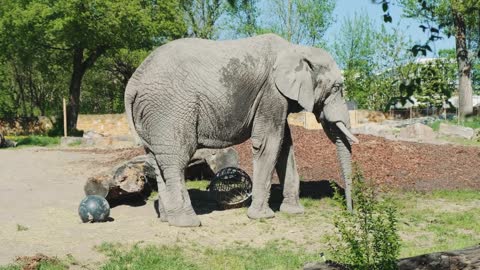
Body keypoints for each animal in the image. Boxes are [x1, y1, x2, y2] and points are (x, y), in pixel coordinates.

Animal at [125, 34, 358, 228]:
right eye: (337, 87)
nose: (349, 212)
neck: (295, 48)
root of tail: (132, 83)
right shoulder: (271, 93)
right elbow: (269, 143)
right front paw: (263, 217)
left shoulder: (275, 98)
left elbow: (285, 145)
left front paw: (294, 212)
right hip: (170, 110)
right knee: (176, 161)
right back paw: (187, 222)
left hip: (152, 116)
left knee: (157, 161)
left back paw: (167, 219)